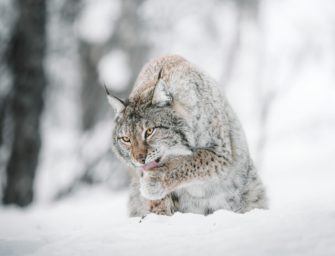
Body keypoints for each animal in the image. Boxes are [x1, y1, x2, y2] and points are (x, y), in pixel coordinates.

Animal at [106, 54, 270, 216]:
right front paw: (160, 213)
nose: (139, 160)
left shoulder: (222, 153)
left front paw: (156, 180)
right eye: (126, 139)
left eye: (149, 131)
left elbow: (194, 159)